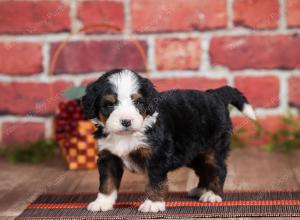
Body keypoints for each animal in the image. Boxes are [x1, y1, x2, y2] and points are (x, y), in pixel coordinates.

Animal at [81, 69, 255, 213]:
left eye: (138, 102)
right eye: (109, 104)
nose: (126, 121)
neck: (126, 135)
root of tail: (215, 95)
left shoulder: (156, 157)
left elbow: (155, 182)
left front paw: (153, 203)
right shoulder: (108, 156)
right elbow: (107, 182)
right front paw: (102, 203)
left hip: (213, 149)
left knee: (219, 169)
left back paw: (212, 194)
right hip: (194, 153)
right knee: (204, 169)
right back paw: (201, 190)